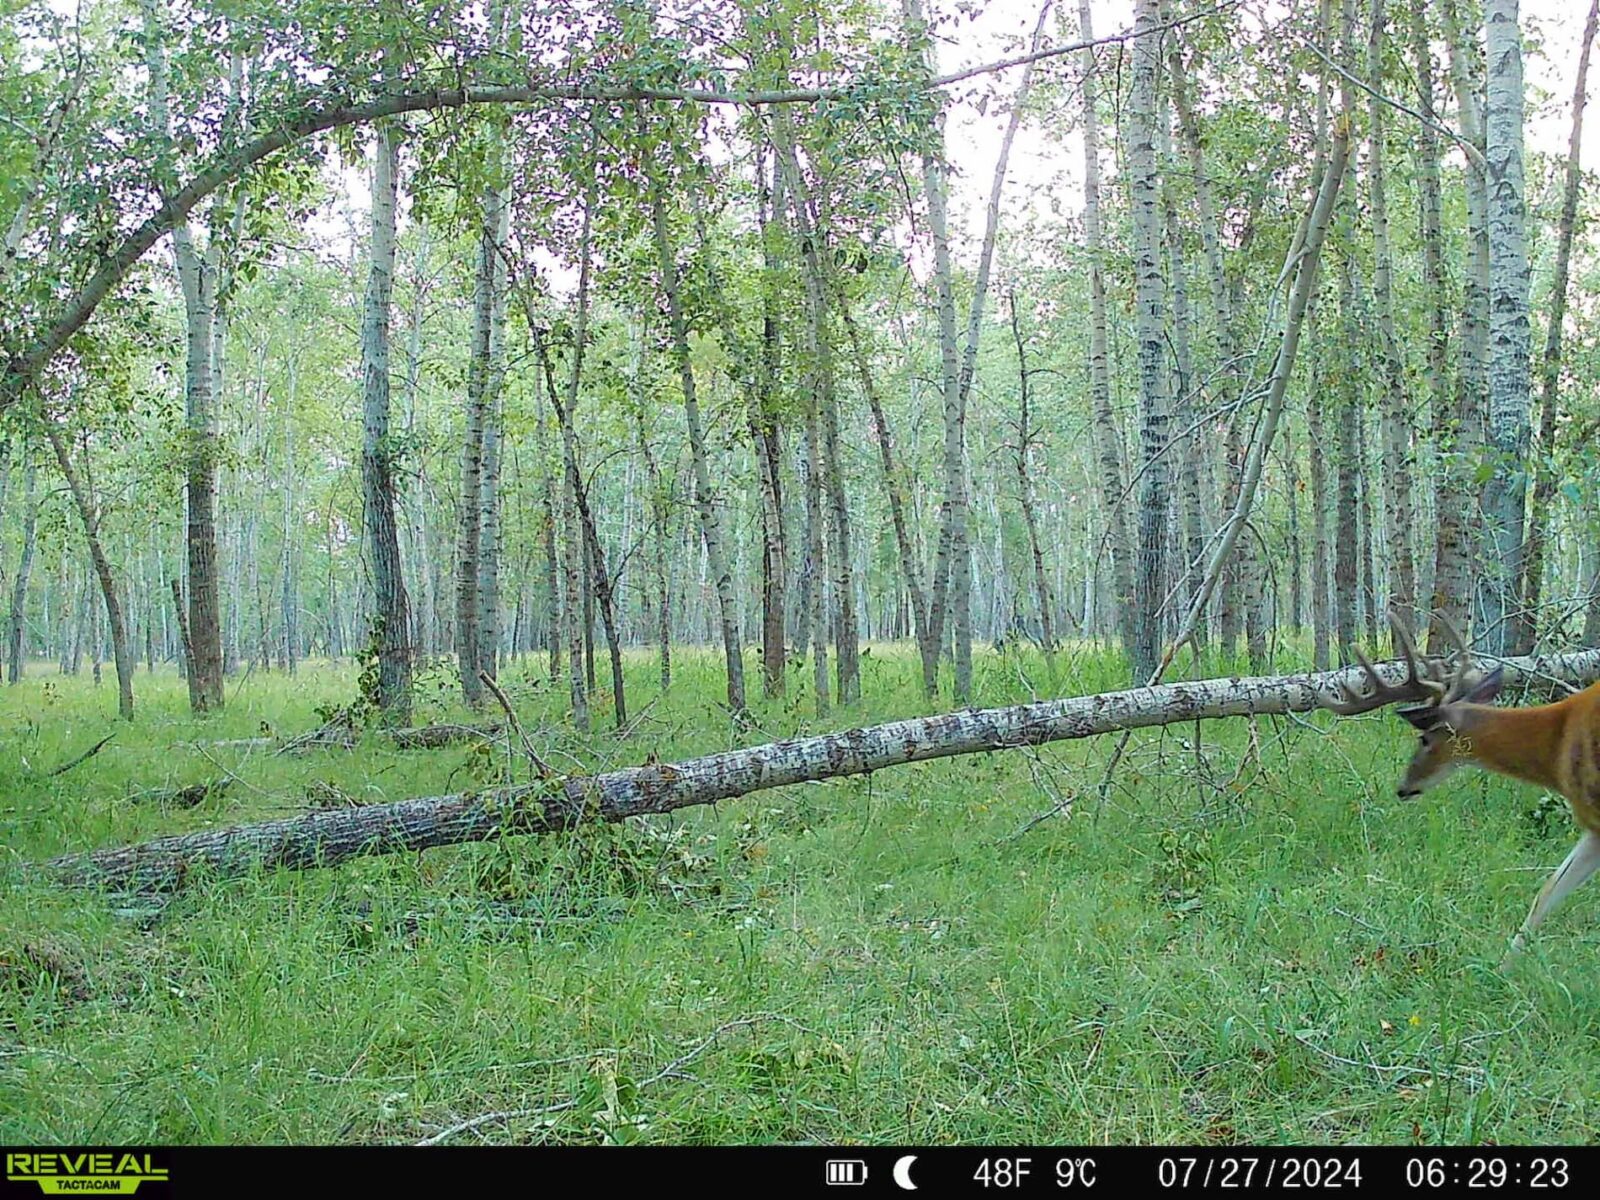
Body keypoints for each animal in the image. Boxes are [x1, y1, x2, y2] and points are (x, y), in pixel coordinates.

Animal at [1321, 614, 1600, 968]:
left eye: (1424, 738)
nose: (1403, 788)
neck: (1556, 746)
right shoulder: (1593, 825)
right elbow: (1547, 893)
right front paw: (1503, 969)